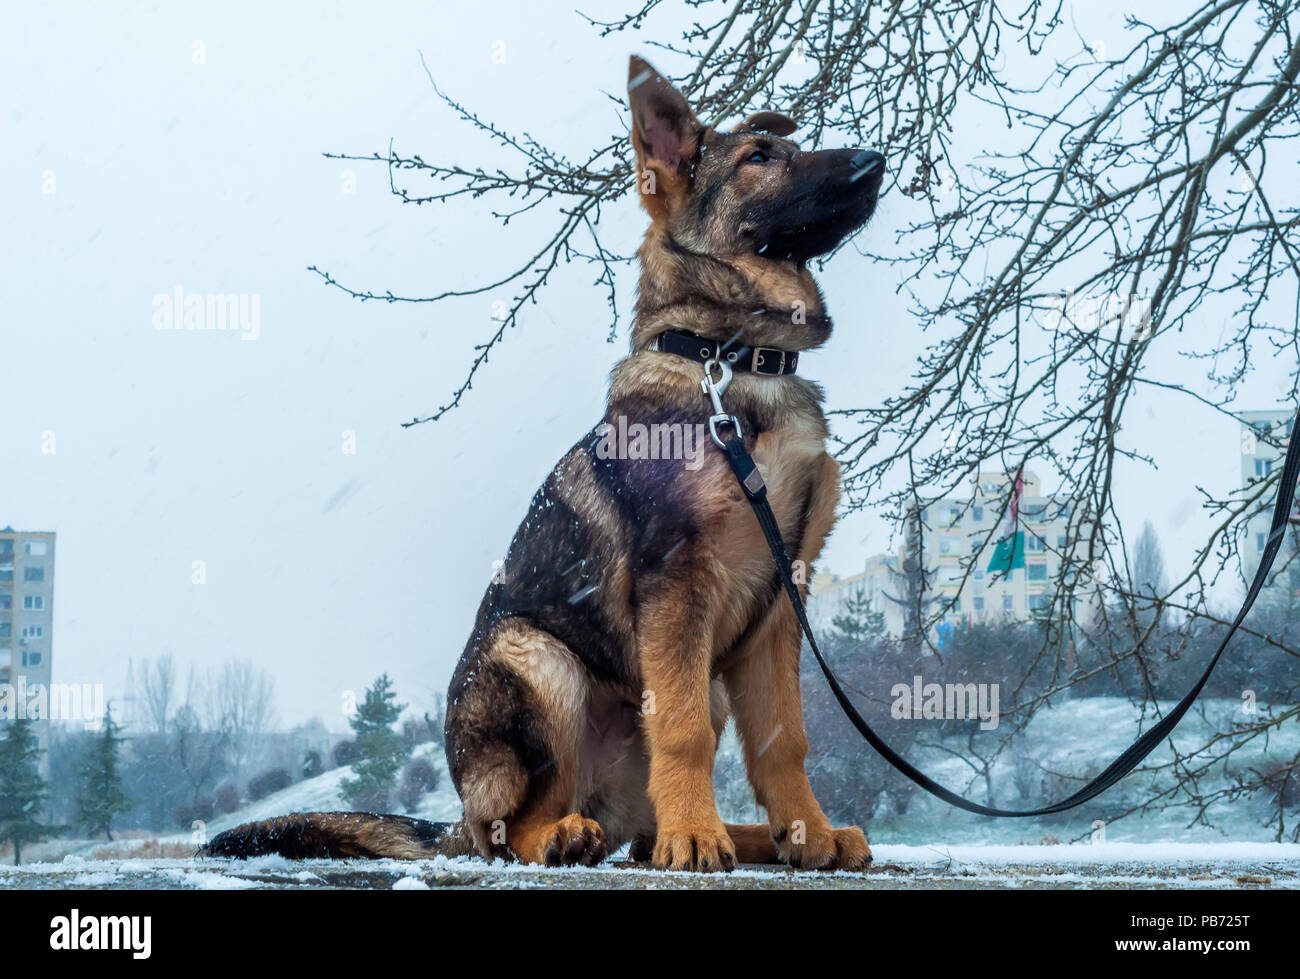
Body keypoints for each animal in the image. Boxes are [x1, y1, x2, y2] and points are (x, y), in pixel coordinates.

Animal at [205, 57, 883, 868]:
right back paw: (582, 833)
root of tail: (459, 819)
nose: (876, 161)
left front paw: (807, 831)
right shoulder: (679, 579)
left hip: (694, 682)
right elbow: (681, 729)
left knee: (638, 832)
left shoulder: (783, 597)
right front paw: (697, 835)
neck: (735, 359)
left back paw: (745, 835)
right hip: (538, 660)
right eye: (759, 159)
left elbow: (786, 739)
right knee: (515, 829)